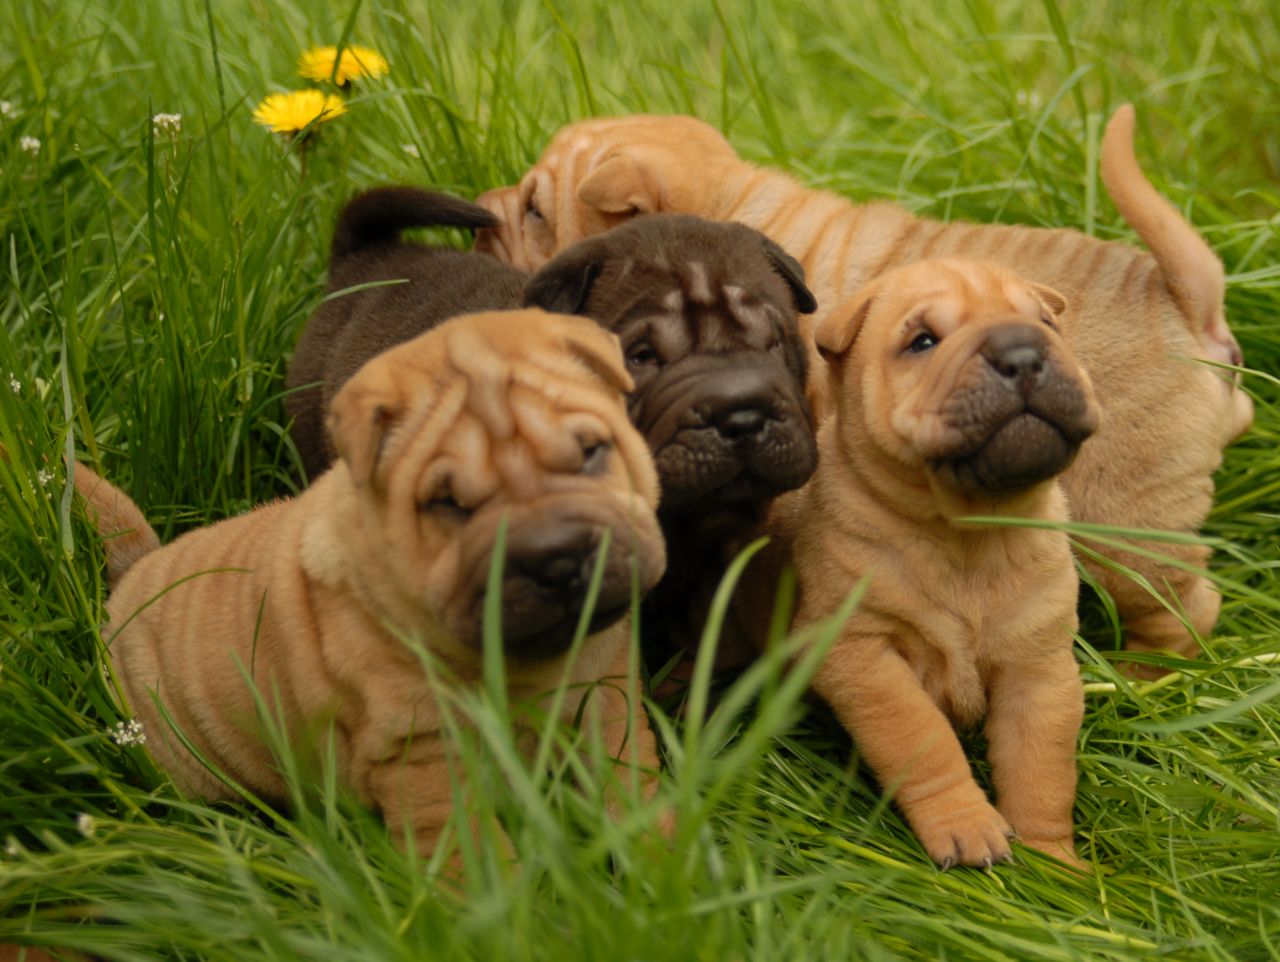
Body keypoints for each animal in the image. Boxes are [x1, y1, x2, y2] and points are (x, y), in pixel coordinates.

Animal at [77, 309, 670, 854]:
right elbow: (472, 852)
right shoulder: (424, 753)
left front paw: (658, 856)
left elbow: (629, 782)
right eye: (448, 504)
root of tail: (133, 573)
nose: (556, 558)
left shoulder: (607, 693)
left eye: (592, 452)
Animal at [476, 106, 1254, 675]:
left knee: (1185, 608)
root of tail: (1185, 303)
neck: (735, 200)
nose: (479, 213)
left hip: (1124, 527)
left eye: (536, 209)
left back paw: (1138, 678)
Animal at [737, 259, 1105, 869]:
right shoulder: (861, 651)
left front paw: (1051, 862)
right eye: (923, 342)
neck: (968, 534)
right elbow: (921, 738)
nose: (1024, 351)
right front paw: (967, 826)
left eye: (1047, 323)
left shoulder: (1040, 664)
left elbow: (1041, 766)